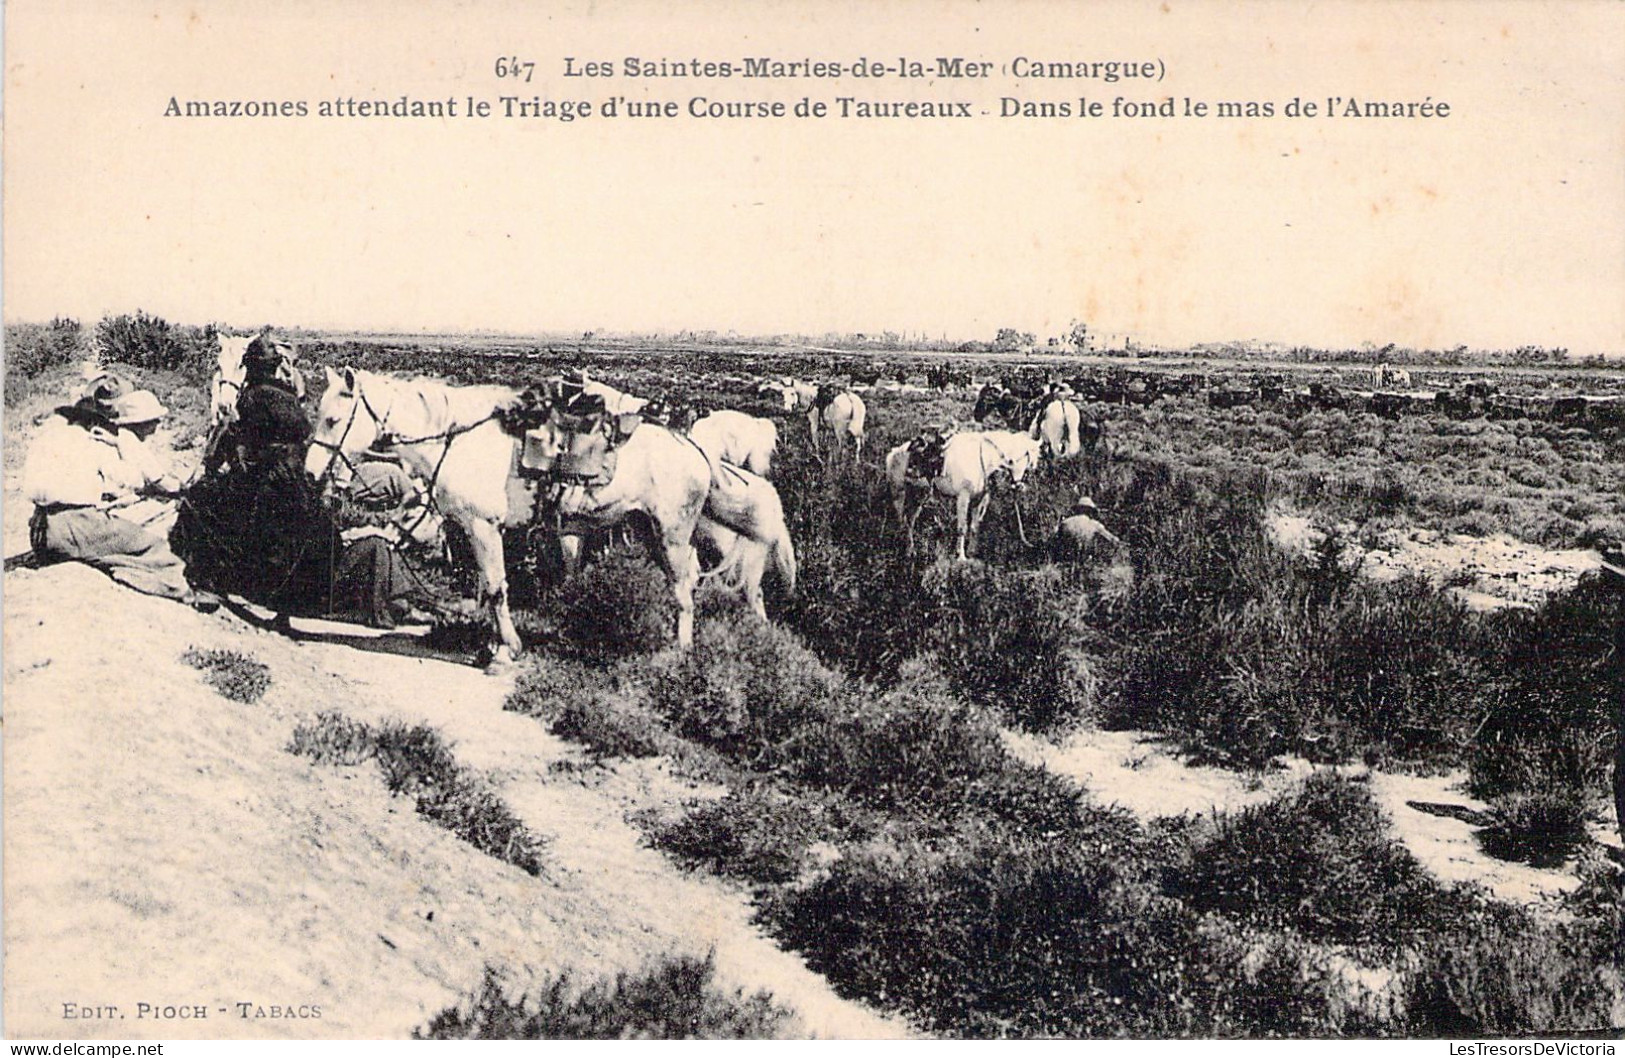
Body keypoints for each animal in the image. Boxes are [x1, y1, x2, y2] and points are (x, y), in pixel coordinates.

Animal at [890, 429, 1040, 562]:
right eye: (1028, 456)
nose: (1018, 486)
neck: (981, 460)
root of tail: (894, 453)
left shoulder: (977, 500)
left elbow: (974, 527)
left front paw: (971, 552)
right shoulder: (963, 497)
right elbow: (962, 527)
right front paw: (961, 556)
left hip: (918, 497)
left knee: (910, 521)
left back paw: (911, 551)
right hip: (899, 495)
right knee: (901, 520)